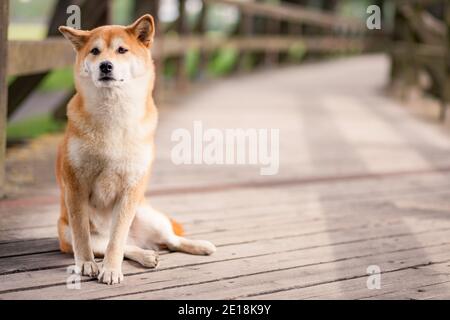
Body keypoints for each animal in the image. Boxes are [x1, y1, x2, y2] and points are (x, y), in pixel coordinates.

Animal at [57, 15, 215, 284]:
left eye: (122, 50)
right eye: (95, 51)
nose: (105, 66)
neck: (113, 114)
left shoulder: (131, 188)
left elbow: (117, 240)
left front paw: (111, 269)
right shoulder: (75, 186)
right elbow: (83, 236)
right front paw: (86, 264)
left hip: (148, 216)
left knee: (168, 240)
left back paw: (200, 245)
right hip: (67, 231)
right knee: (123, 245)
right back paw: (146, 255)